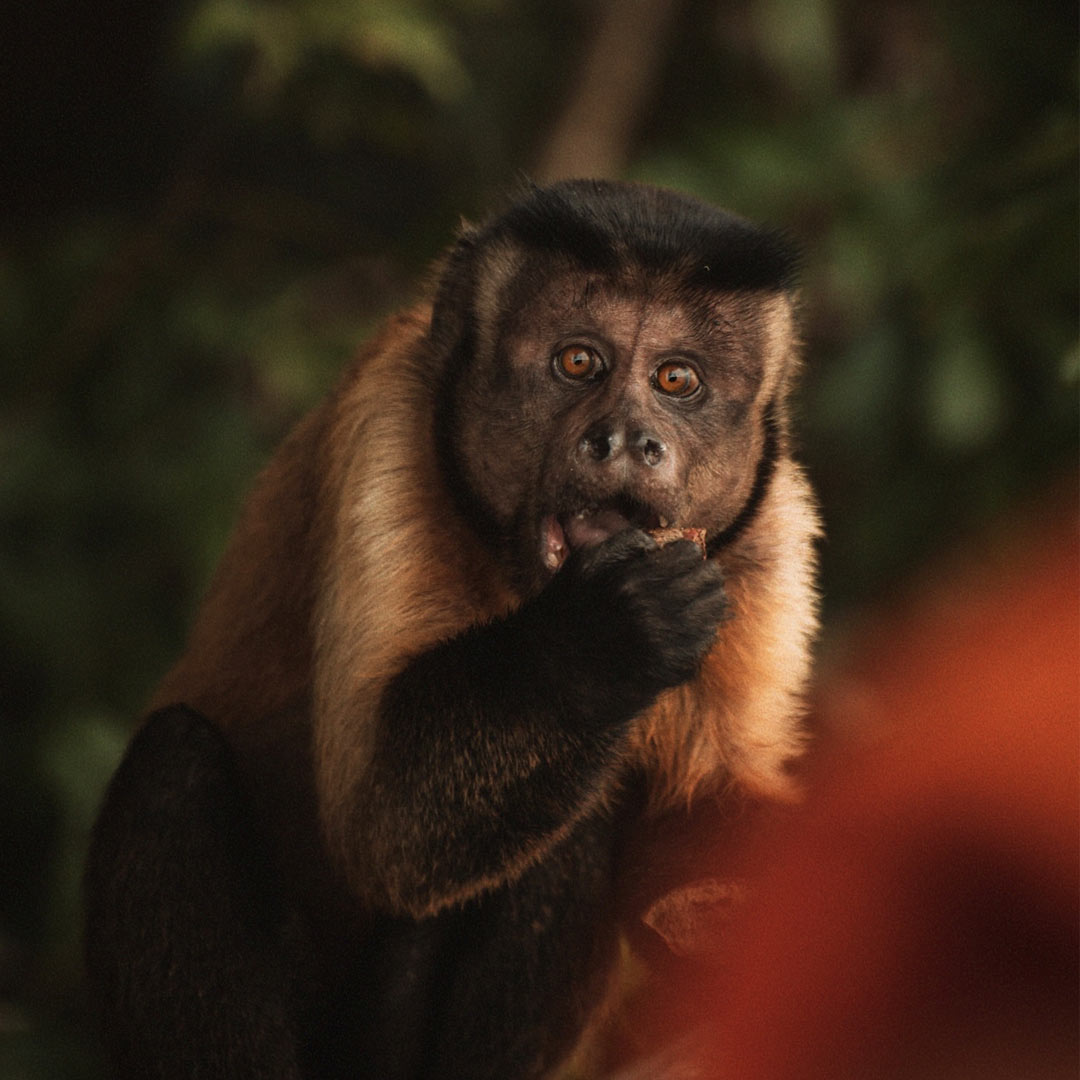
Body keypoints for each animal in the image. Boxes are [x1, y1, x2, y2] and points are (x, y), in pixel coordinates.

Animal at [84, 178, 819, 1079]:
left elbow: (697, 818)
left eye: (676, 380)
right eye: (579, 362)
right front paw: (603, 639)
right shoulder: (391, 431)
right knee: (175, 764)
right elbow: (384, 829)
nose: (626, 440)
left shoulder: (771, 528)